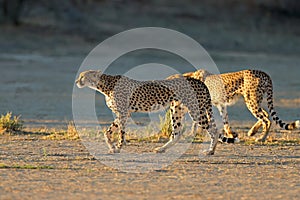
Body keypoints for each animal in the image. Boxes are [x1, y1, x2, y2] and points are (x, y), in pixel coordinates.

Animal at [75, 70, 227, 155]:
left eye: (83, 76)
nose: (77, 81)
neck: (104, 85)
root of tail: (199, 81)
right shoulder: (124, 113)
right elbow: (108, 131)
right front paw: (111, 146)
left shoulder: (123, 113)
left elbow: (121, 133)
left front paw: (118, 148)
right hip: (176, 109)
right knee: (177, 133)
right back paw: (161, 149)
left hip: (195, 111)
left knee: (214, 130)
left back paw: (210, 151)